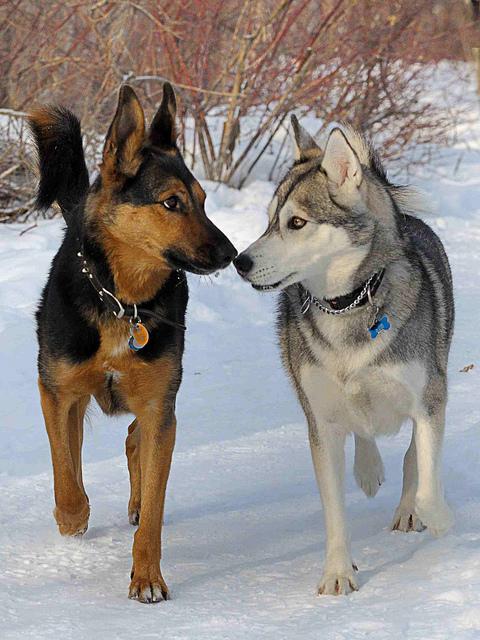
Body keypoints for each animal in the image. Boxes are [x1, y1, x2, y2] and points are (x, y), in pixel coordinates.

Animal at [28, 85, 236, 604]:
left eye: (204, 201)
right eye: (171, 203)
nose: (232, 255)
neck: (123, 301)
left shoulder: (161, 407)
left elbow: (155, 511)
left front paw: (147, 577)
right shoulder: (56, 390)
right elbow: (64, 471)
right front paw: (73, 517)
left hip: (158, 397)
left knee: (134, 439)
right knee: (79, 448)